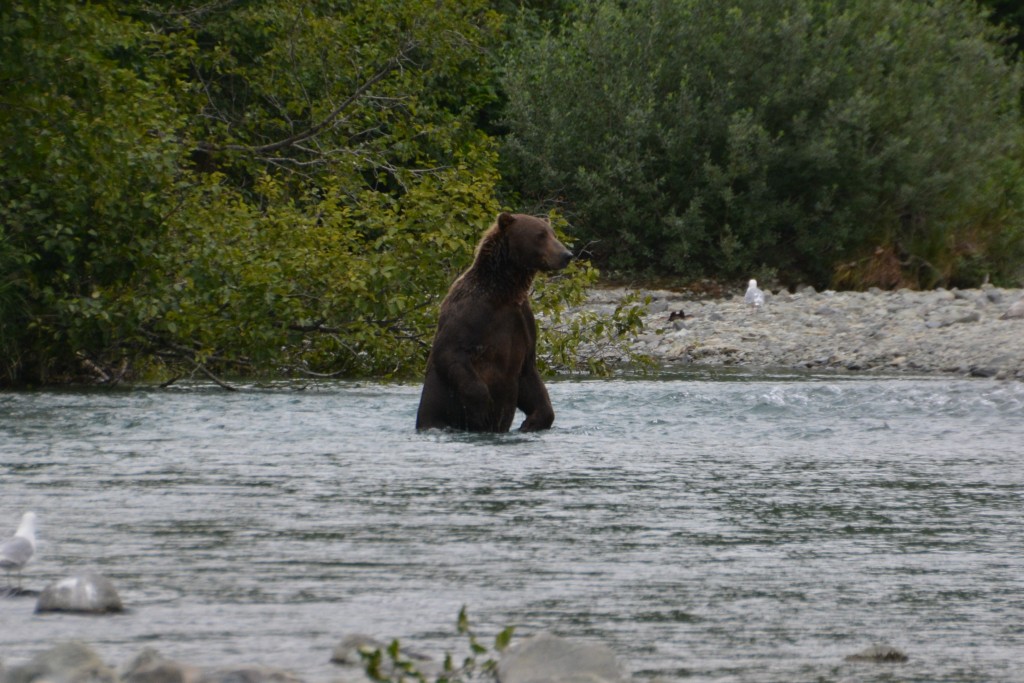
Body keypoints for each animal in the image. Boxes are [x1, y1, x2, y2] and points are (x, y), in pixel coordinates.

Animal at [417, 211, 577, 432]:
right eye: (540, 235)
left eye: (553, 234)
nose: (566, 255)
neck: (504, 292)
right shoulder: (470, 314)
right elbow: (449, 352)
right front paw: (484, 410)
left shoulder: (521, 322)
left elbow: (530, 377)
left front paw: (531, 422)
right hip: (435, 413)